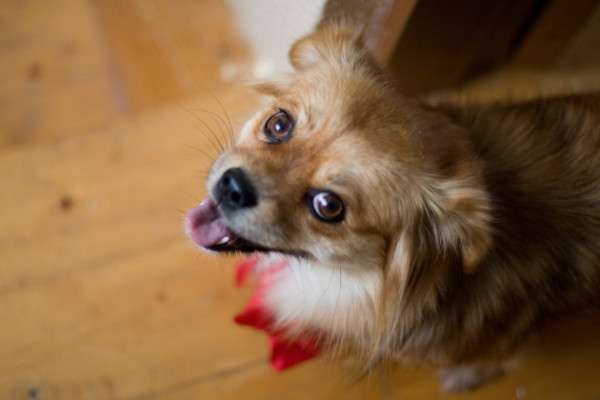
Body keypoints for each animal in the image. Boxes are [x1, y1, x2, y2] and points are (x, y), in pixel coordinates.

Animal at [186, 23, 600, 392]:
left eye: (328, 206)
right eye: (278, 124)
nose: (234, 186)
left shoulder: (500, 343)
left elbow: (500, 359)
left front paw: (467, 376)